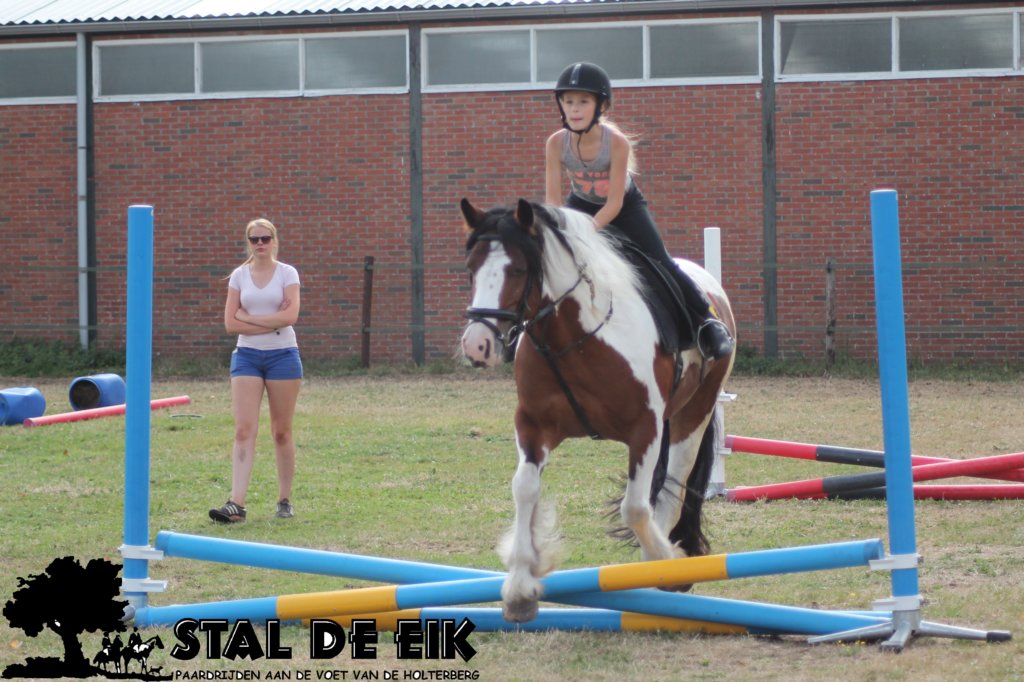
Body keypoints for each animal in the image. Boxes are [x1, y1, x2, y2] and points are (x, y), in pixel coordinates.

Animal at [459, 198, 736, 623]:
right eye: (471, 269)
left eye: (518, 270)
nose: (477, 346)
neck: (575, 338)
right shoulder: (533, 426)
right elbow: (524, 489)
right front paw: (521, 585)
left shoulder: (645, 428)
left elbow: (635, 507)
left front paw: (666, 561)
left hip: (694, 413)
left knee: (673, 485)